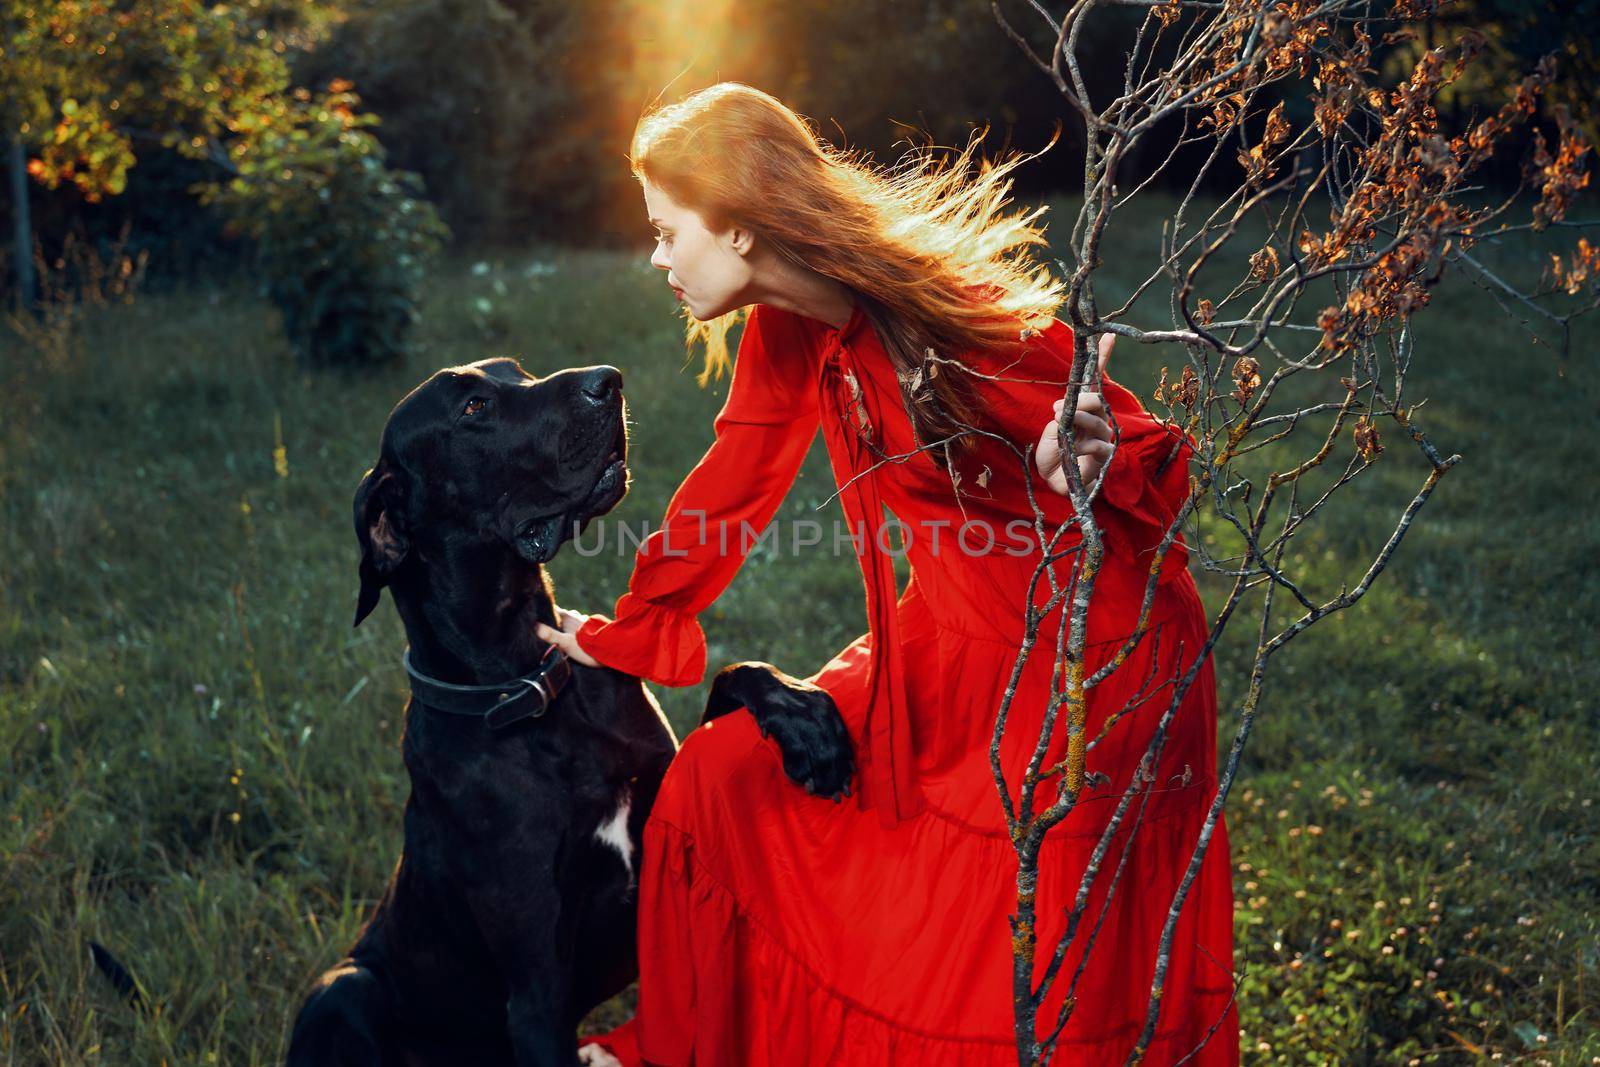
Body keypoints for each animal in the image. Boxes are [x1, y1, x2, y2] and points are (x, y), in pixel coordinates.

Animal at [294, 361, 857, 1067]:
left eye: (517, 371)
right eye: (473, 406)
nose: (607, 381)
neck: (533, 686)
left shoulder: (664, 824)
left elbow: (731, 678)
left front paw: (802, 715)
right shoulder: (538, 992)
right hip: (341, 988)